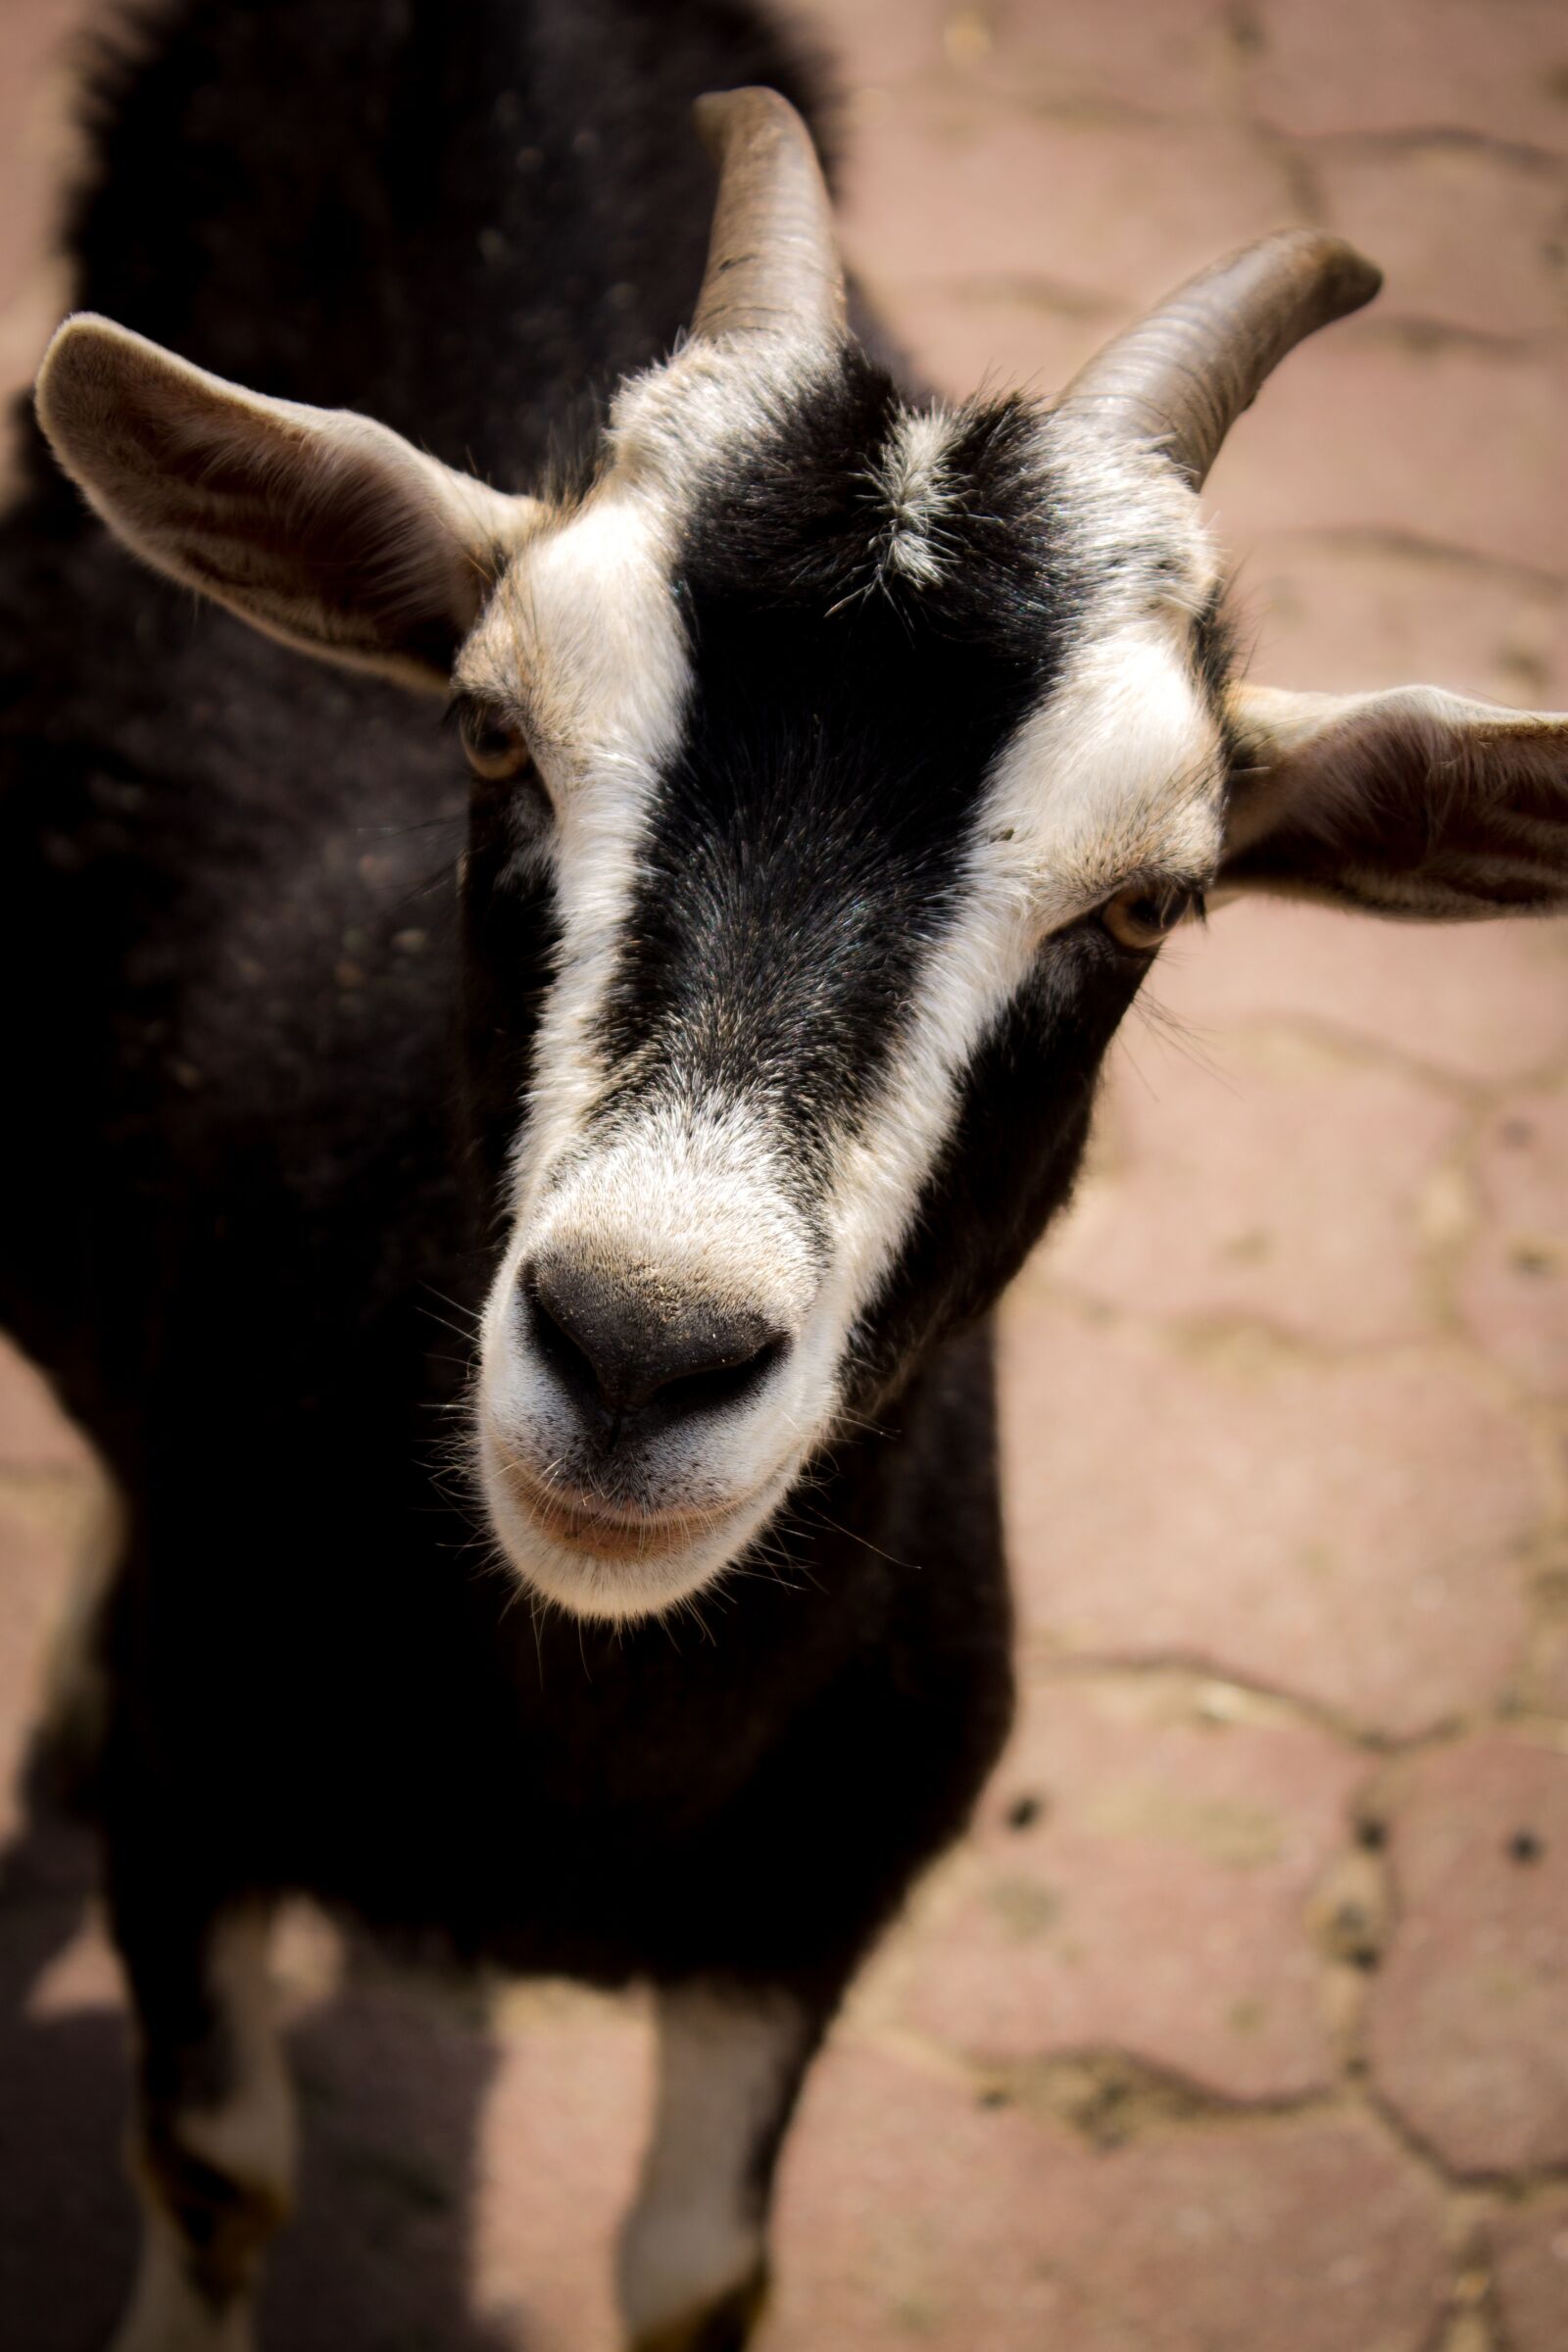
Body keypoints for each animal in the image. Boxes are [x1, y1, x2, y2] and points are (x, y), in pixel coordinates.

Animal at [3, 0, 1564, 2346]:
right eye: (489, 735)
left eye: (1151, 903)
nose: (639, 1349)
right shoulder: (197, 1807)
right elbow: (215, 2168)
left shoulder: (811, 1914)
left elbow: (699, 2269)